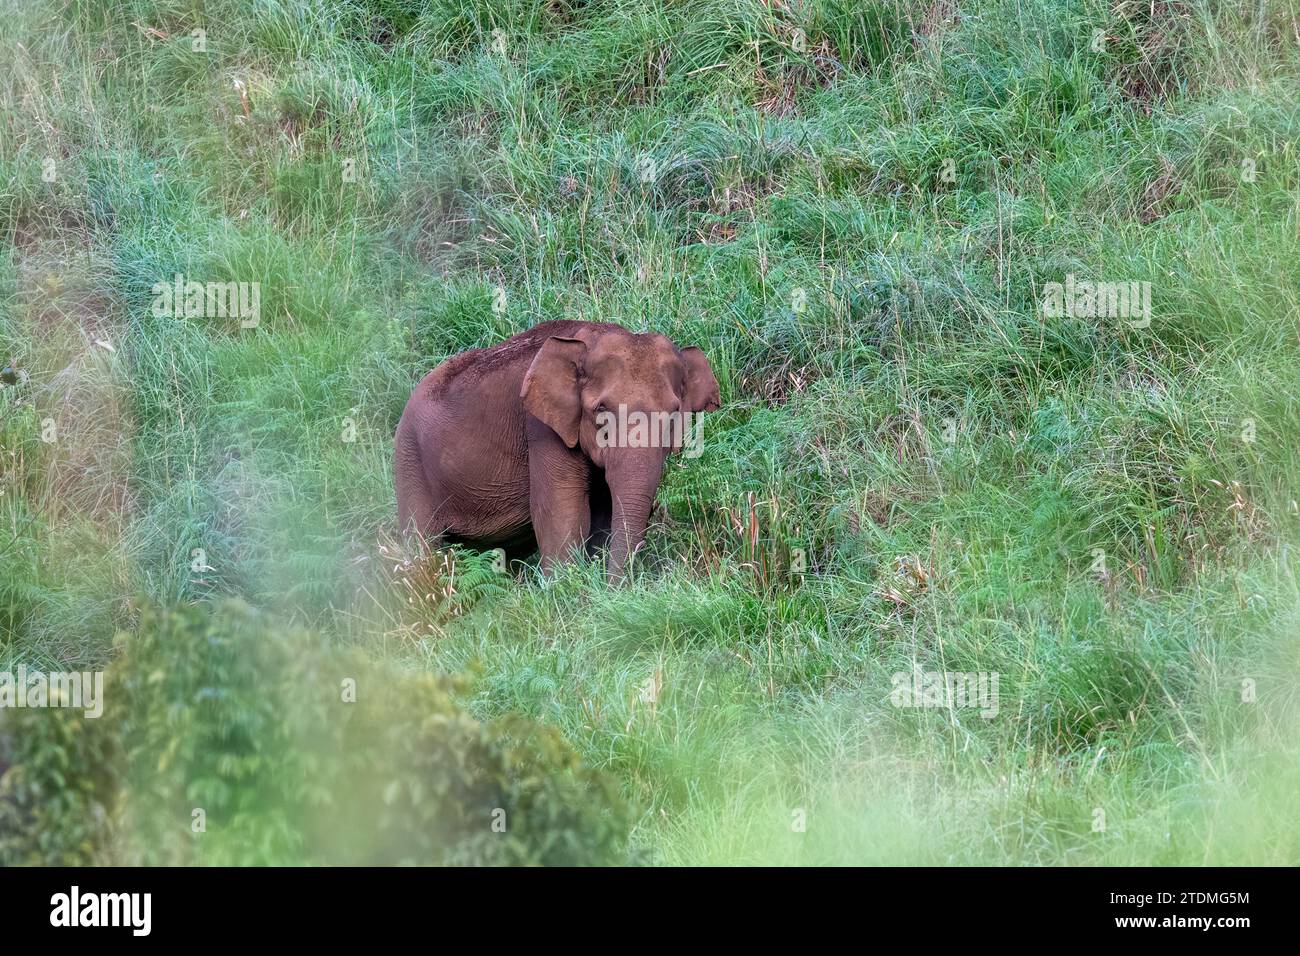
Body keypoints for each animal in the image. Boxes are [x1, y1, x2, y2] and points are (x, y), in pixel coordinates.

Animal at [390, 319, 728, 582]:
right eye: (600, 410)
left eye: (674, 413)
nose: (616, 590)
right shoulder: (541, 428)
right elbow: (561, 510)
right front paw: (568, 589)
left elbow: (602, 511)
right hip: (409, 461)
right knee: (423, 544)